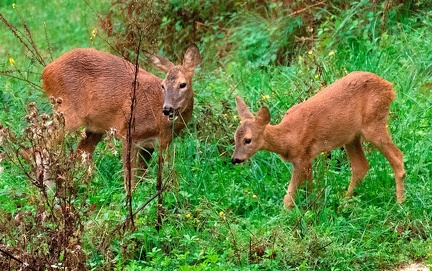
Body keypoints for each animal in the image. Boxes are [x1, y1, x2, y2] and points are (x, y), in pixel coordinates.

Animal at [42, 44, 201, 189]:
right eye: (163, 85)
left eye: (182, 84)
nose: (167, 109)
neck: (159, 122)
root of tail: (46, 71)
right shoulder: (128, 132)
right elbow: (129, 173)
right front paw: (130, 194)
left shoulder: (152, 145)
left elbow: (142, 172)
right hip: (68, 112)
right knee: (46, 139)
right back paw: (49, 187)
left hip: (95, 127)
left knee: (82, 152)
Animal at [233, 71, 404, 209]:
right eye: (234, 138)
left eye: (247, 140)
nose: (235, 159)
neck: (288, 136)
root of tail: (390, 88)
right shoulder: (307, 159)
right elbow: (307, 189)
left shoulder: (302, 157)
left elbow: (290, 196)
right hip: (351, 136)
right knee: (361, 166)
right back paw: (344, 203)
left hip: (373, 123)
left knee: (397, 156)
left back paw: (400, 203)